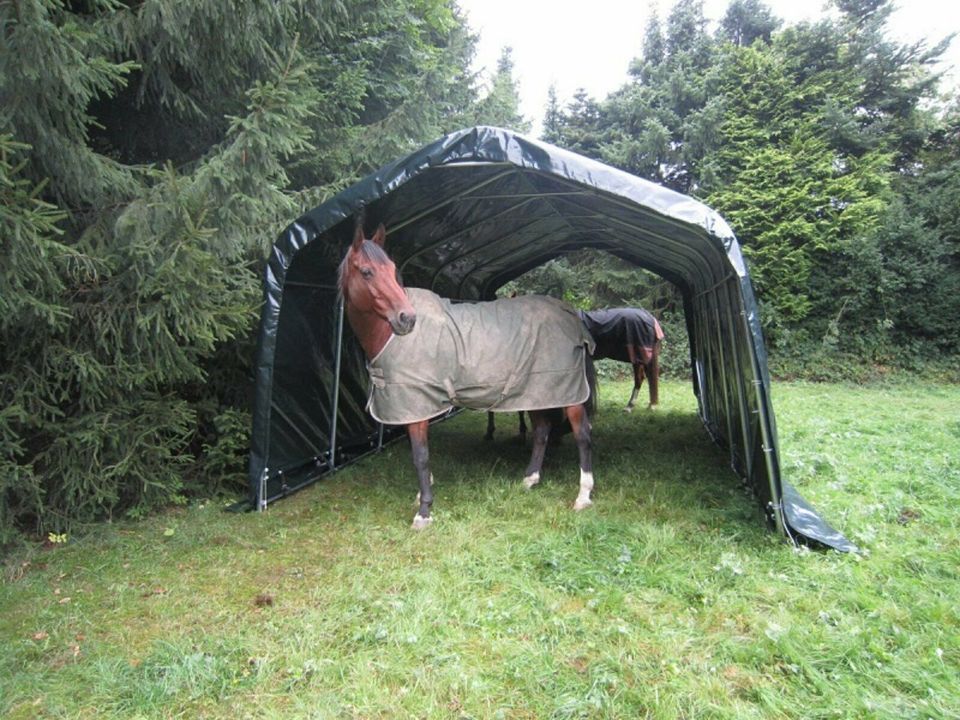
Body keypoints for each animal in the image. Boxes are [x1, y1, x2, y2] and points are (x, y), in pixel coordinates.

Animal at [336, 224, 592, 528]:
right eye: (367, 271)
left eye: (393, 268)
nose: (407, 318)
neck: (389, 335)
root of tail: (569, 313)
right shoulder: (411, 407)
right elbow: (417, 453)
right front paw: (423, 493)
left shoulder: (417, 404)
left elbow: (420, 456)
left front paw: (424, 510)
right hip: (538, 391)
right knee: (542, 430)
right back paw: (530, 479)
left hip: (567, 394)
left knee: (582, 435)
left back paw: (583, 496)